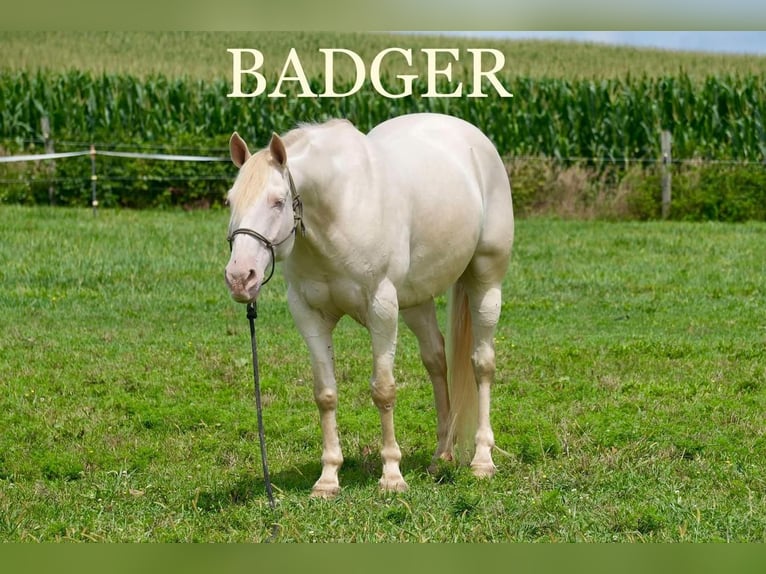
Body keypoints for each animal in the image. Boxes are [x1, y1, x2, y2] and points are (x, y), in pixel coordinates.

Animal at [225, 113, 520, 500]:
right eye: (229, 201)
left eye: (277, 201)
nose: (239, 277)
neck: (339, 208)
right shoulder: (308, 314)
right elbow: (325, 394)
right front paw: (328, 479)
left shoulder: (381, 307)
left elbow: (383, 390)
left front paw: (392, 476)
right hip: (416, 301)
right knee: (436, 361)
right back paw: (441, 455)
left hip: (485, 282)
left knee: (481, 364)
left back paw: (482, 460)